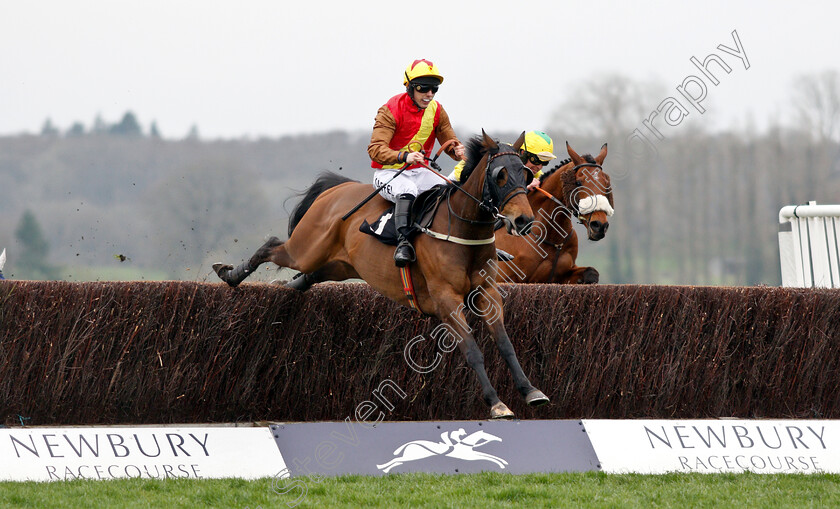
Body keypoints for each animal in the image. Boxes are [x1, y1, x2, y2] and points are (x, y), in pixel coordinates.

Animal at [213, 133, 548, 418]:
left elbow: (506, 345)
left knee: (309, 276)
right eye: (500, 175)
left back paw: (284, 283)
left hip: (339, 265)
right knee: (272, 246)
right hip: (306, 248)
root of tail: (337, 188)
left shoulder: (487, 294)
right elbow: (473, 351)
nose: (523, 220)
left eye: (525, 174)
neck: (463, 230)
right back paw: (230, 274)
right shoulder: (446, 300)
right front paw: (496, 404)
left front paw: (531, 391)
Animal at [492, 141, 612, 284]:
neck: (551, 237)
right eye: (578, 182)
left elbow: (591, 273)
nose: (599, 225)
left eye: (606, 183)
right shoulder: (504, 278)